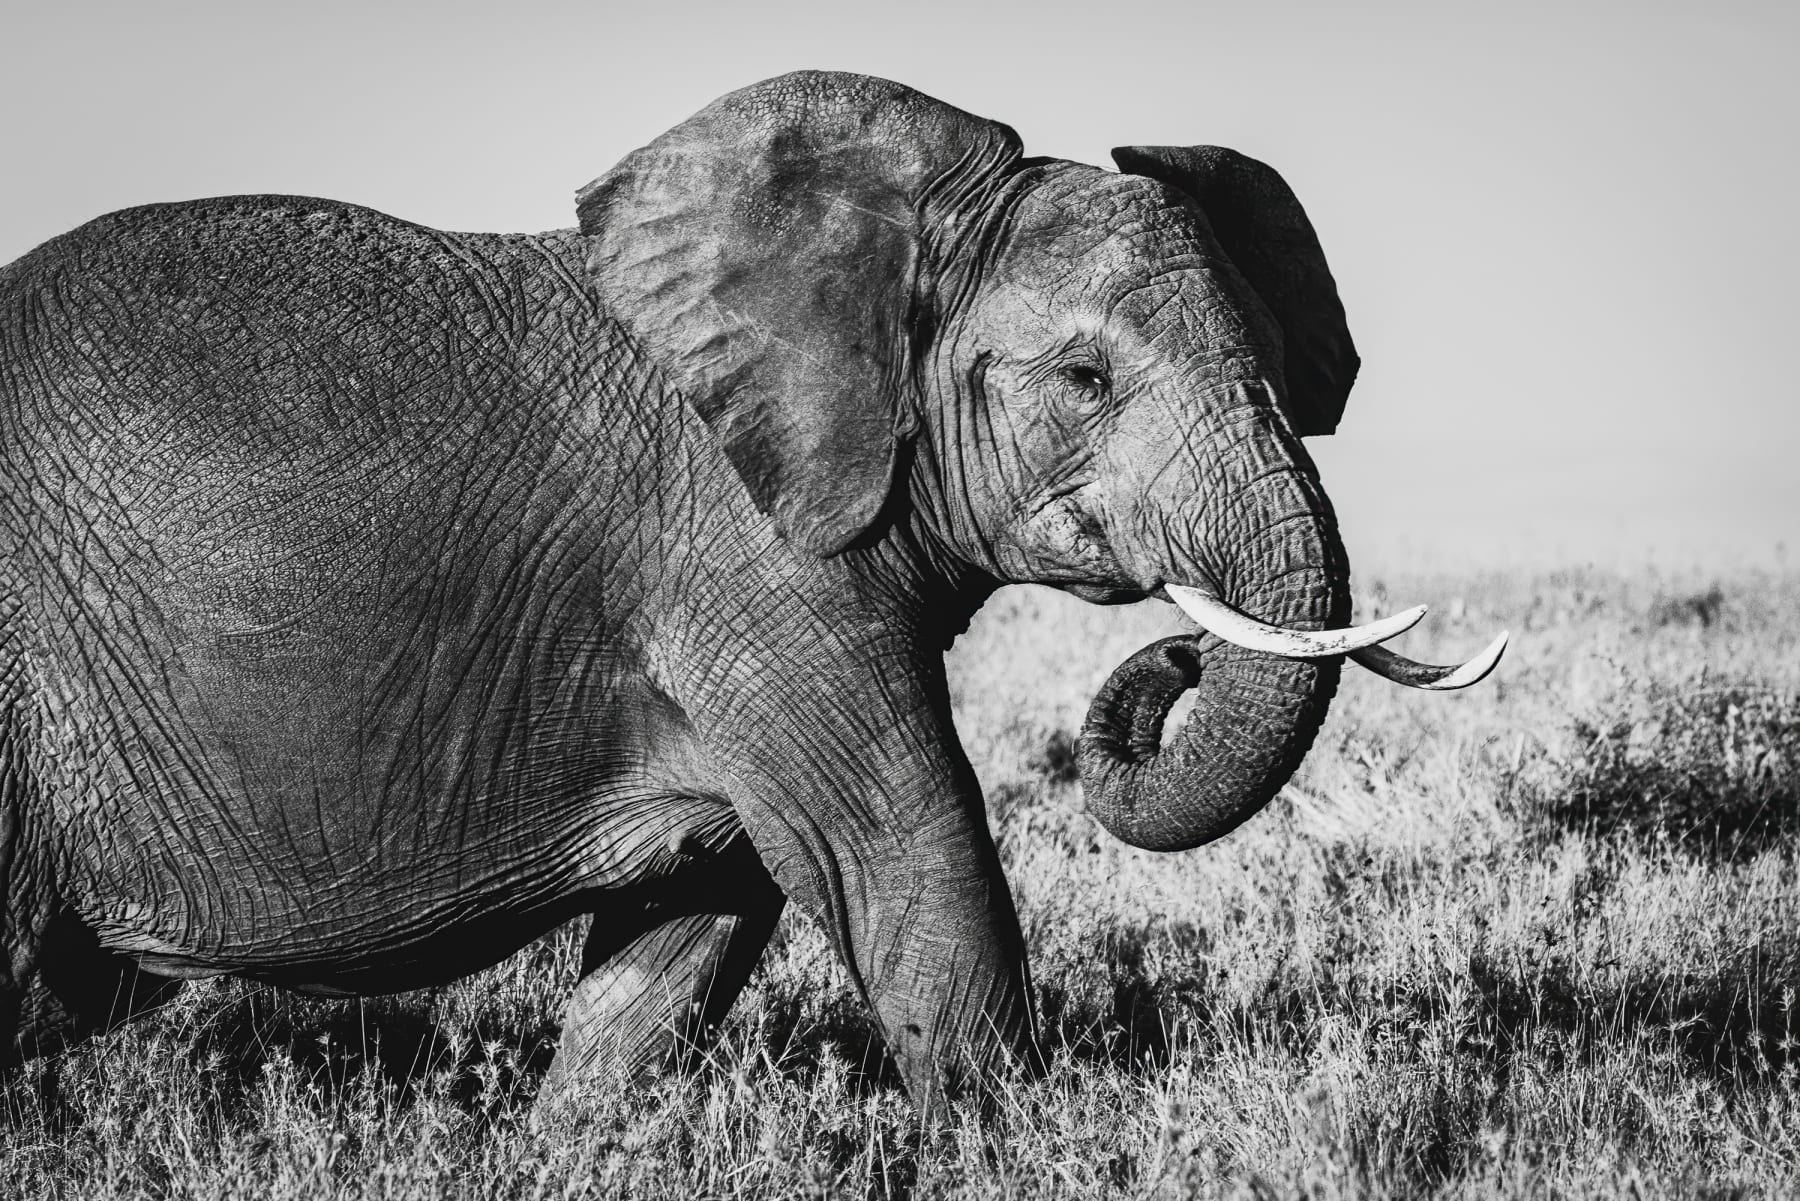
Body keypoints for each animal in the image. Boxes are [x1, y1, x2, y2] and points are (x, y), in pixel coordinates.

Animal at [0, 70, 1503, 1113]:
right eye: (1085, 380)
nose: (1172, 664)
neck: (887, 248)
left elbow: (692, 929)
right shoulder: (745, 561)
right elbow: (905, 859)